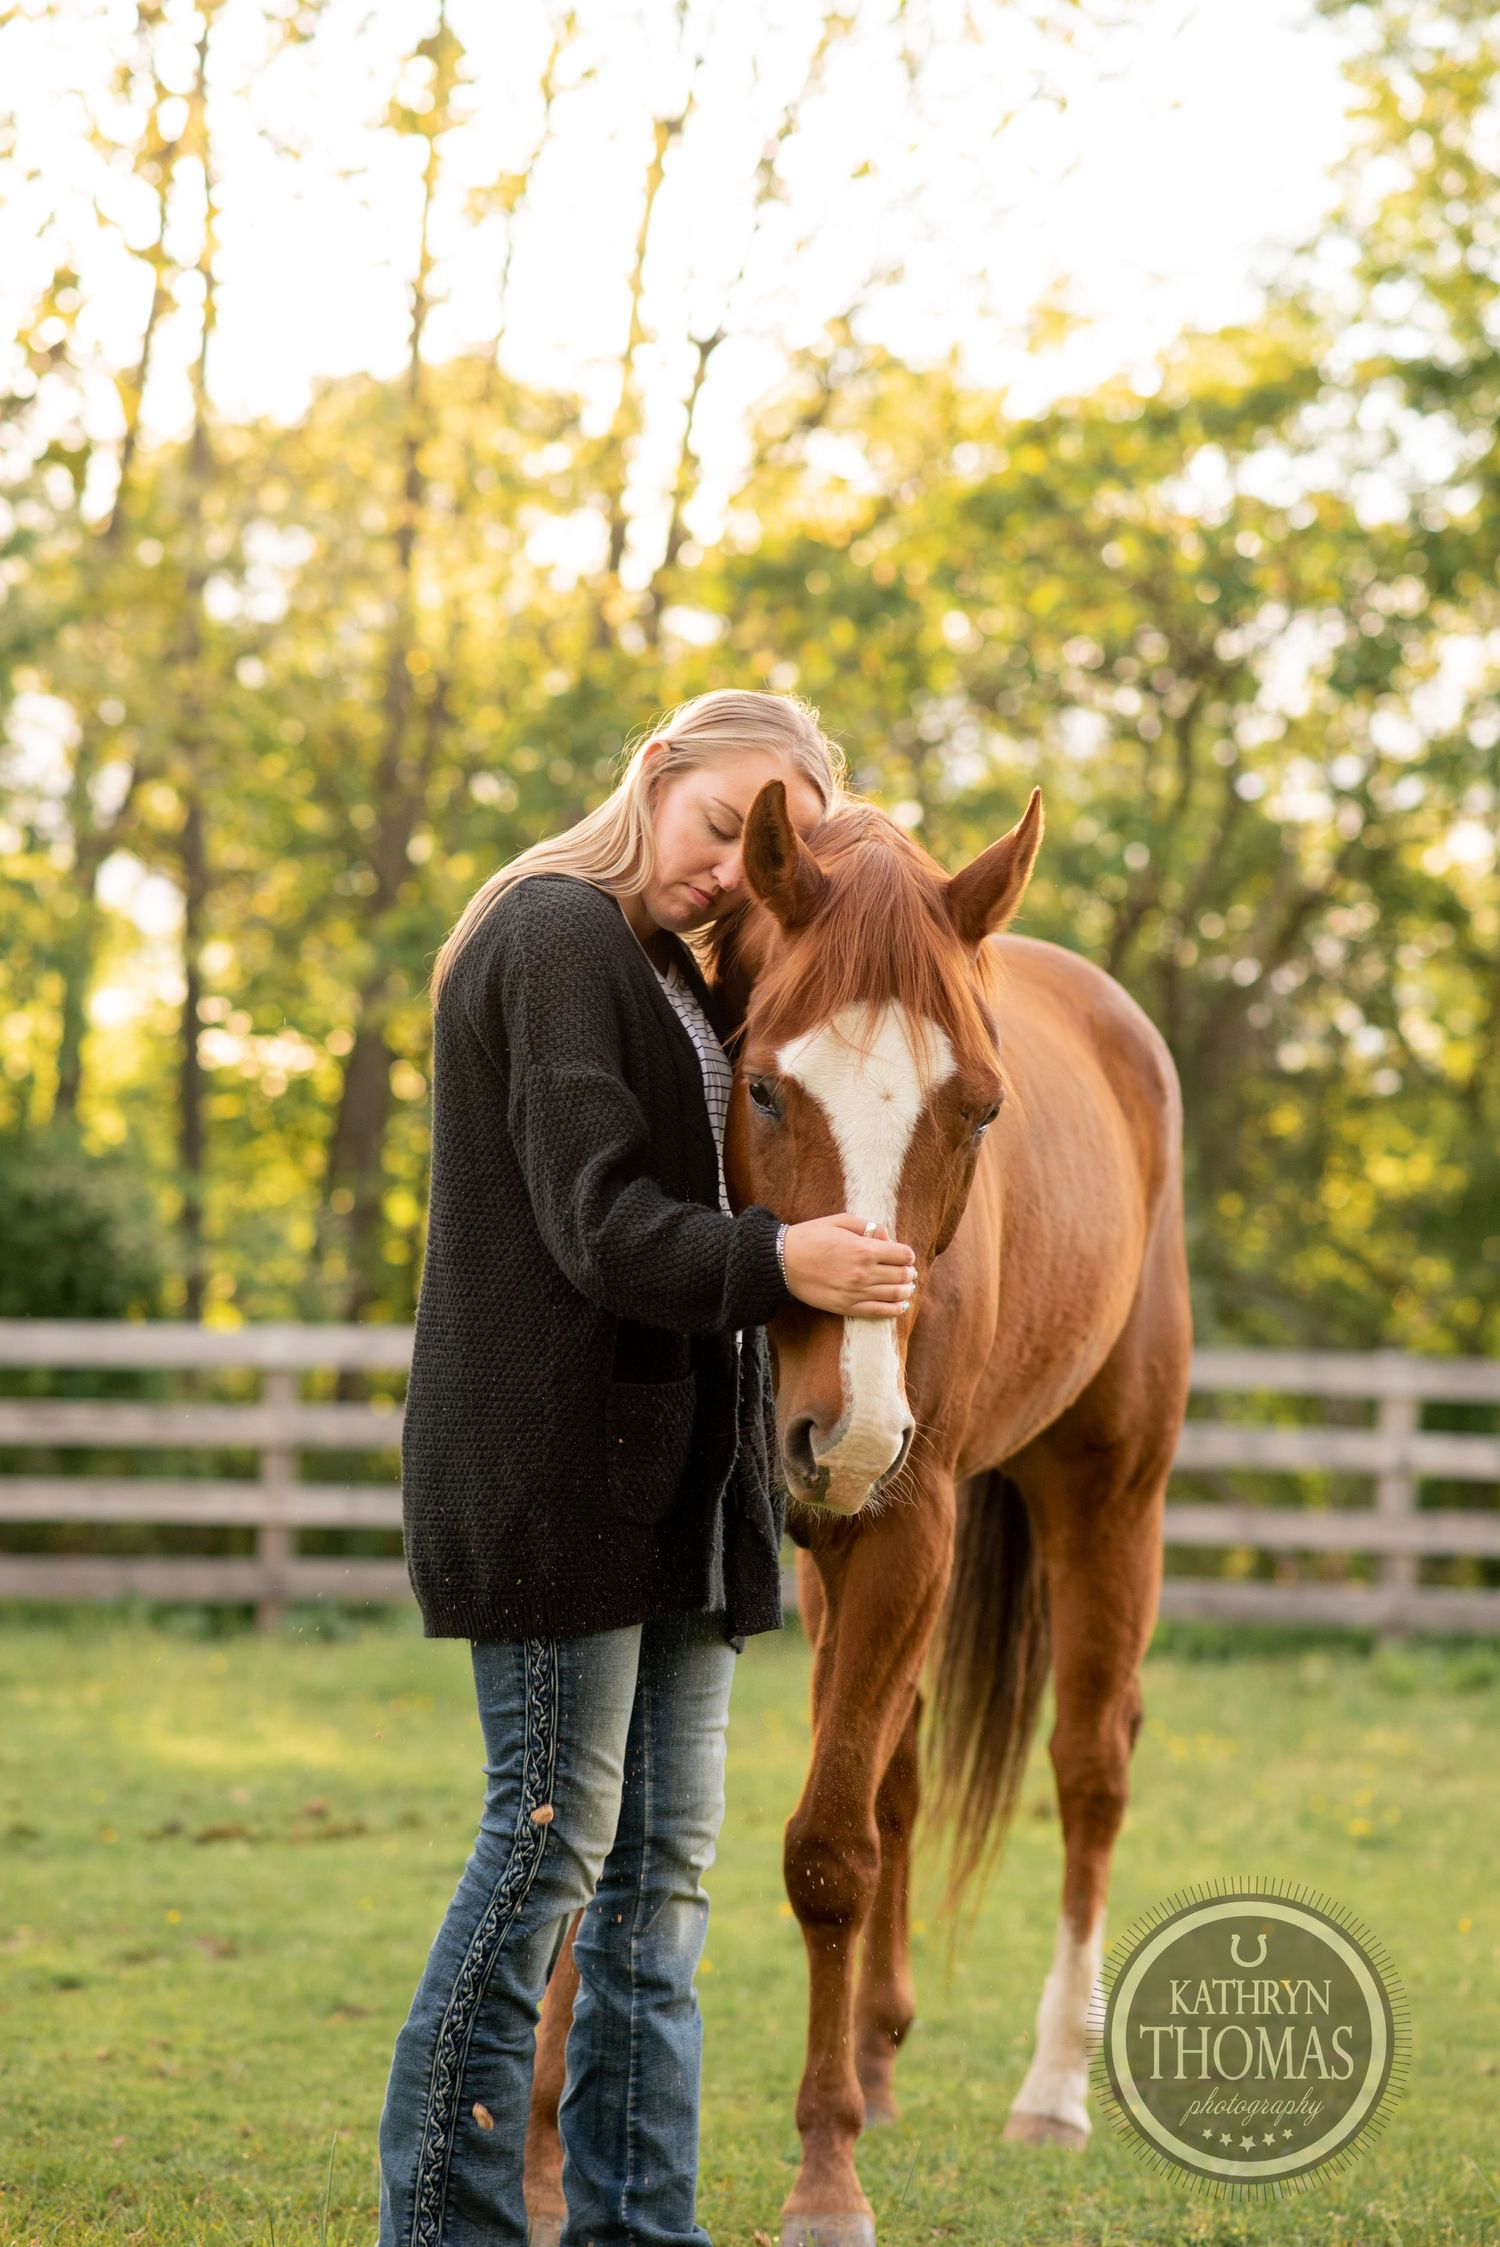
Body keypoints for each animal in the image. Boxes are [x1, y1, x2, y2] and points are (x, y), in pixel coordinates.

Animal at [522, 780, 1192, 2247]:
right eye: (766, 1084)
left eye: (980, 1110)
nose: (853, 1431)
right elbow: (619, 1845)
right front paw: (535, 2158)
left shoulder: (903, 1530)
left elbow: (829, 1851)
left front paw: (824, 2175)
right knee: (906, 1771)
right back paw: (881, 2057)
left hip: (1110, 1492)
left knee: (1090, 1767)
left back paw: (1053, 2089)